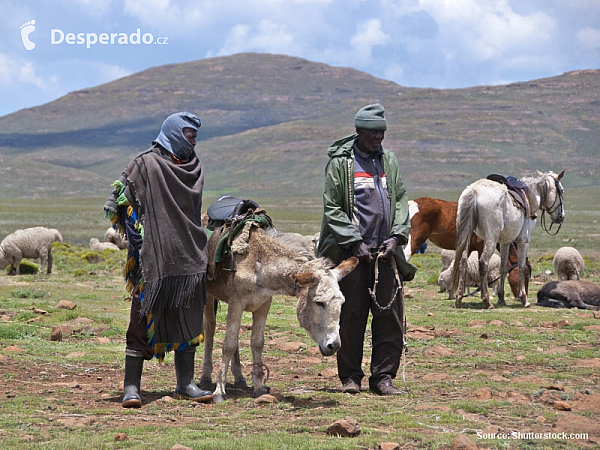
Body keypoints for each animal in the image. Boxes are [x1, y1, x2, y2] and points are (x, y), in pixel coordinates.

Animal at [202, 227, 358, 402]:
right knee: (210, 328)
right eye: (319, 302)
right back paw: (206, 378)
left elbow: (257, 343)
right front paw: (219, 391)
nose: (334, 346)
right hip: (208, 296)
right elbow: (227, 345)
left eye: (342, 302)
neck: (259, 263)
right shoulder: (237, 302)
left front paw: (259, 387)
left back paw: (239, 378)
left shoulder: (263, 304)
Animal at [452, 170, 564, 310]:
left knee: (462, 262)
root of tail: (474, 191)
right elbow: (521, 266)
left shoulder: (505, 241)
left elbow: (503, 267)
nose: (561, 216)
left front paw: (501, 298)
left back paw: (458, 299)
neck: (533, 195)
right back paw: (487, 301)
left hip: (466, 235)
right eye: (561, 191)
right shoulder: (524, 240)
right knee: (483, 262)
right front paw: (524, 299)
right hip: (491, 238)